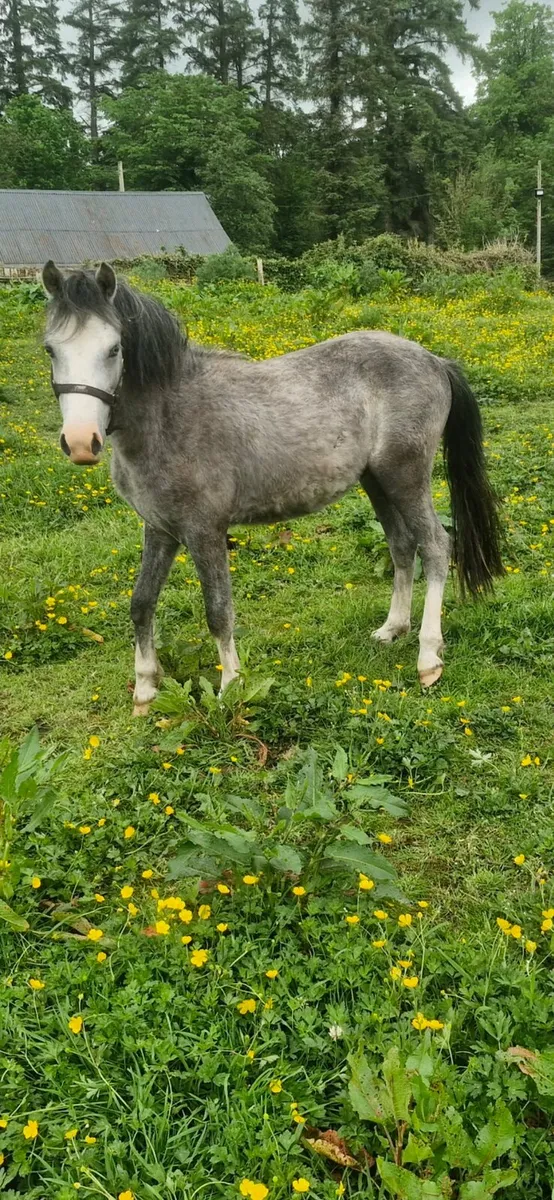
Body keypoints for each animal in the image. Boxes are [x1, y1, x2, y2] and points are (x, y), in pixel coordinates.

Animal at [41, 260, 503, 714]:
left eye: (114, 348)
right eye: (50, 349)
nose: (81, 442)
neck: (169, 416)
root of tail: (434, 359)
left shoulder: (204, 531)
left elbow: (218, 611)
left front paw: (230, 687)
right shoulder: (159, 529)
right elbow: (141, 604)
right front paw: (144, 690)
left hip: (405, 478)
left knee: (436, 546)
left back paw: (428, 657)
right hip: (376, 481)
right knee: (402, 546)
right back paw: (392, 628)